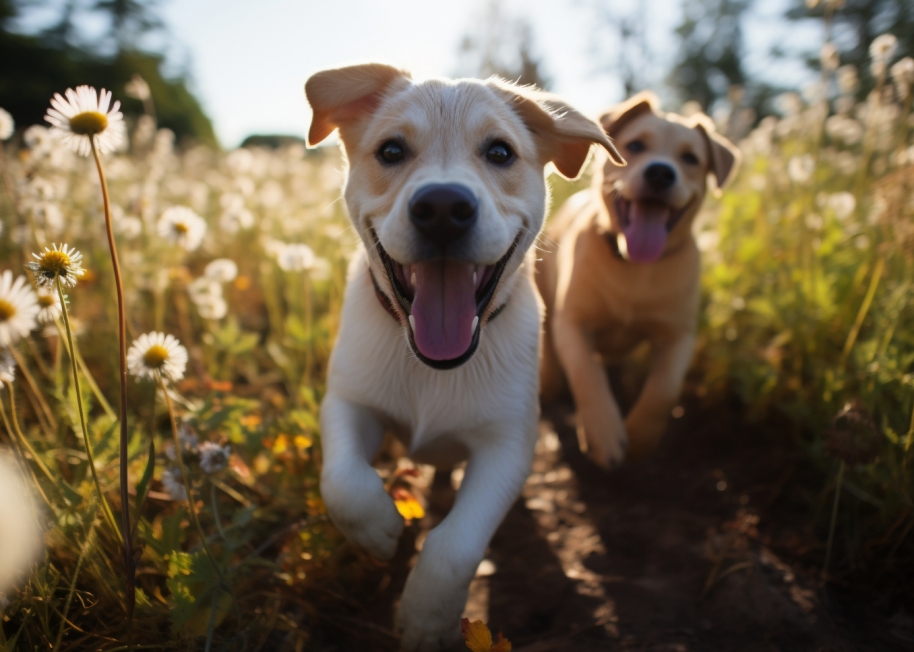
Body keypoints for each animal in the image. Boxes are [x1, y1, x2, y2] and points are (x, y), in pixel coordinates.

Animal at [304, 62, 620, 652]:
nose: (443, 208)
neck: (431, 367)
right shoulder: (348, 403)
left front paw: (427, 620)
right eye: (391, 151)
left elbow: (455, 543)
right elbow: (343, 481)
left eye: (499, 152)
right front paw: (380, 532)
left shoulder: (507, 447)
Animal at [536, 93, 736, 468]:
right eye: (635, 145)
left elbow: (664, 388)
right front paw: (603, 432)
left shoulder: (679, 335)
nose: (660, 172)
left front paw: (642, 438)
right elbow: (586, 372)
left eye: (690, 158)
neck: (634, 266)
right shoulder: (572, 323)